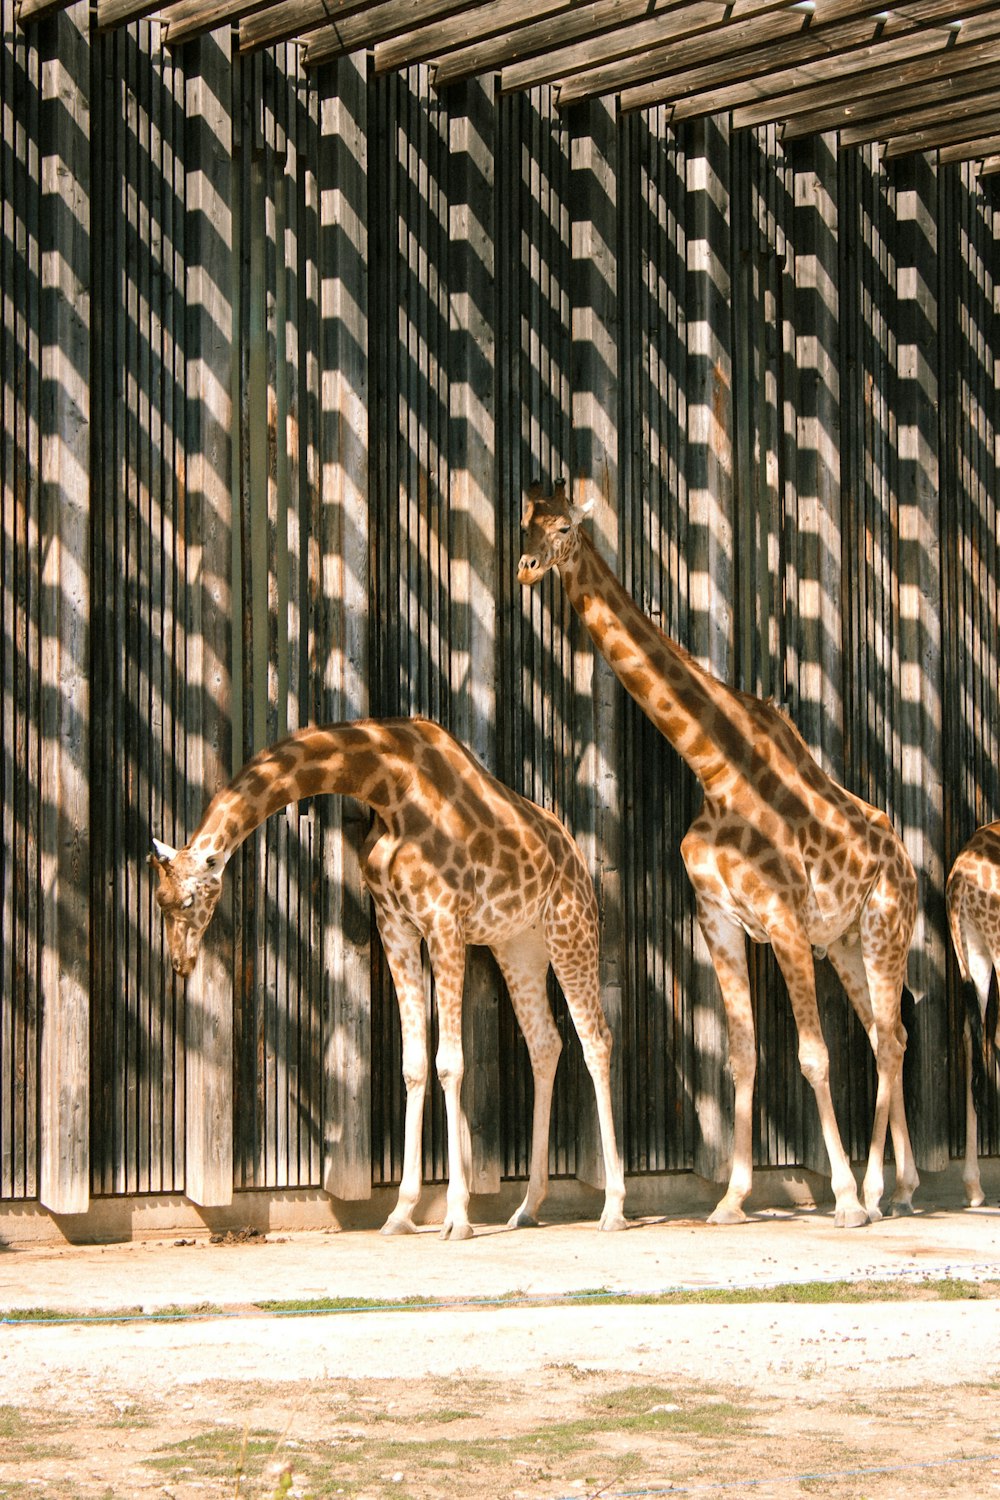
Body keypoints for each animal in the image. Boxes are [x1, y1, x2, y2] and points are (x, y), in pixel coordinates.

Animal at [149, 714, 626, 1242]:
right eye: (158, 901)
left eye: (188, 901)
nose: (179, 963)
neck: (388, 786)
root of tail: (577, 857)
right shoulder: (395, 925)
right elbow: (413, 1064)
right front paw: (401, 1212)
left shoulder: (444, 922)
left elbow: (450, 1064)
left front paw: (456, 1217)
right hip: (519, 947)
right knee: (545, 1043)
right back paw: (527, 1206)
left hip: (570, 929)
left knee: (596, 1040)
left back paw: (613, 1208)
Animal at [521, 486, 917, 1224]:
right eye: (524, 524)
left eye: (562, 527)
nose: (528, 568)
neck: (715, 764)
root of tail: (905, 860)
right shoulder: (719, 919)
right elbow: (741, 1054)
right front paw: (732, 1198)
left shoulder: (784, 919)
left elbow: (813, 1055)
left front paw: (846, 1198)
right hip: (845, 943)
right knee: (892, 1036)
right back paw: (902, 1187)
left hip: (885, 927)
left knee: (886, 1036)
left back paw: (876, 1192)